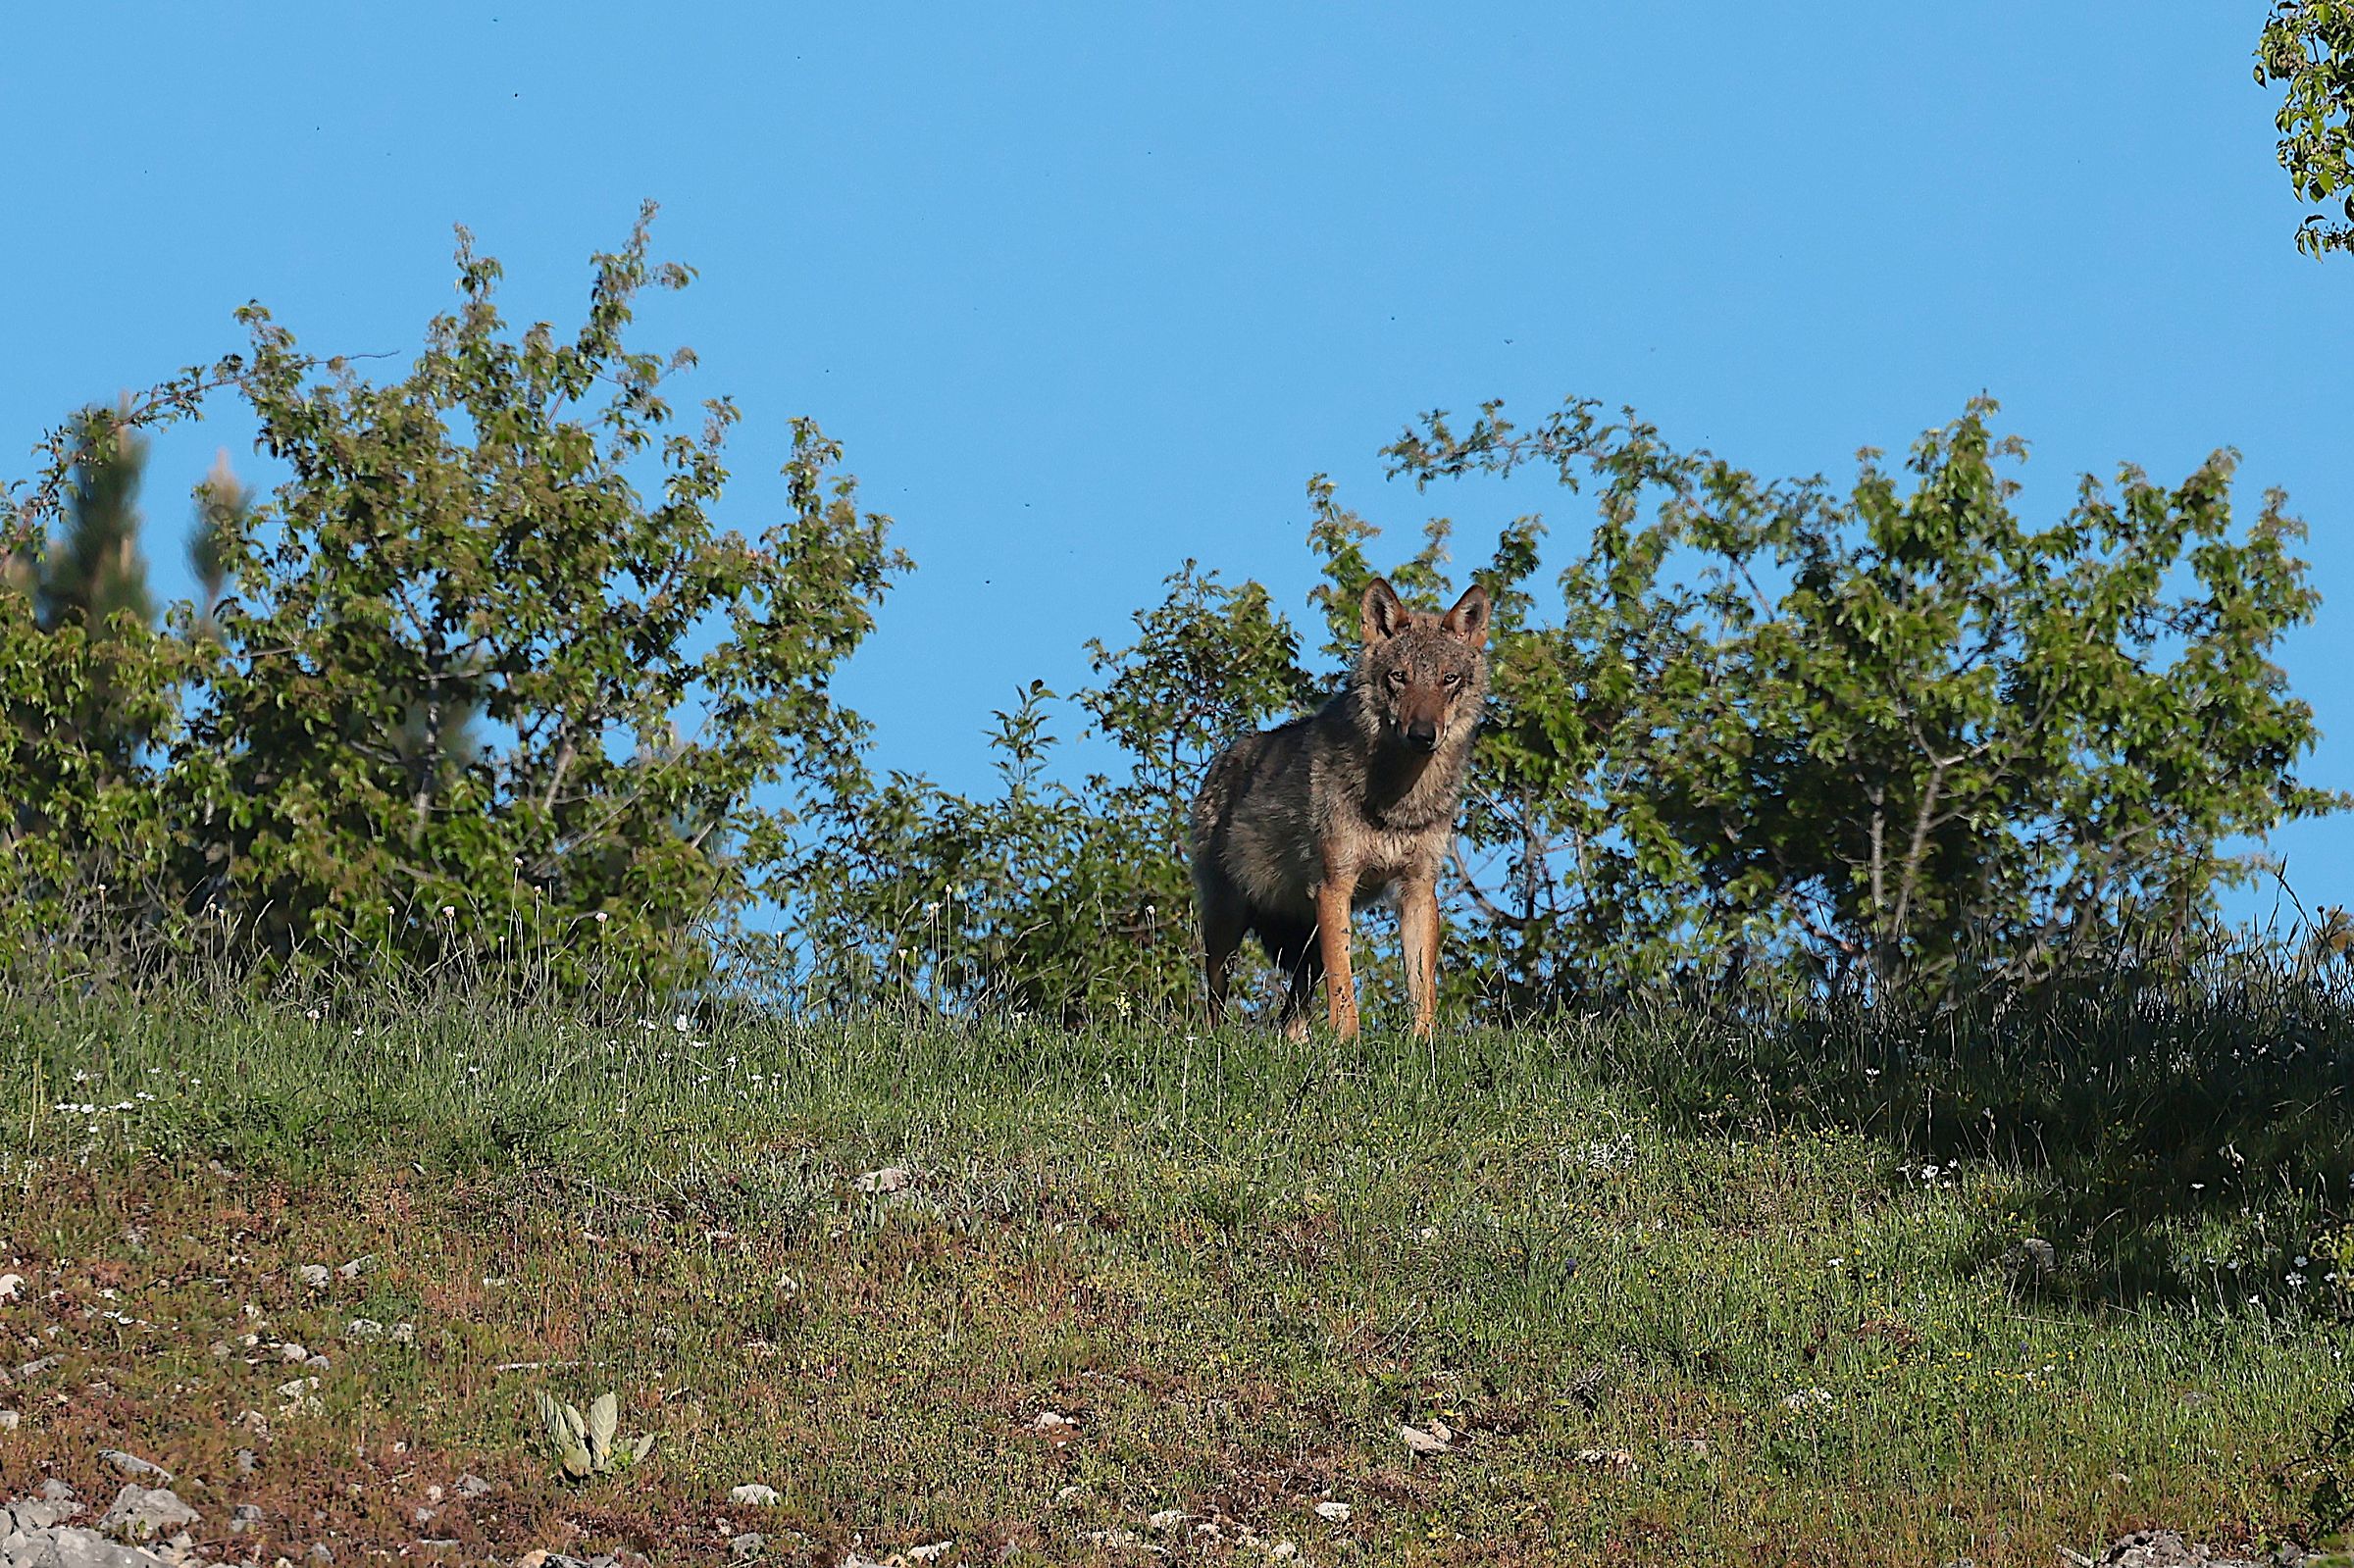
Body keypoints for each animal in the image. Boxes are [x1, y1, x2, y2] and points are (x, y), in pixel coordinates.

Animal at [1188, 577, 1491, 1041]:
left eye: (1448, 679)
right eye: (1399, 677)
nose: (1423, 734)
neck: (1398, 799)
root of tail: (1221, 760)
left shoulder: (1419, 890)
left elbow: (1422, 985)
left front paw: (1423, 1044)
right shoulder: (1335, 886)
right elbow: (1344, 982)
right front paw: (1348, 1043)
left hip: (1304, 942)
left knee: (1292, 1014)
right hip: (1228, 923)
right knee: (1215, 1001)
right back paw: (1212, 1041)